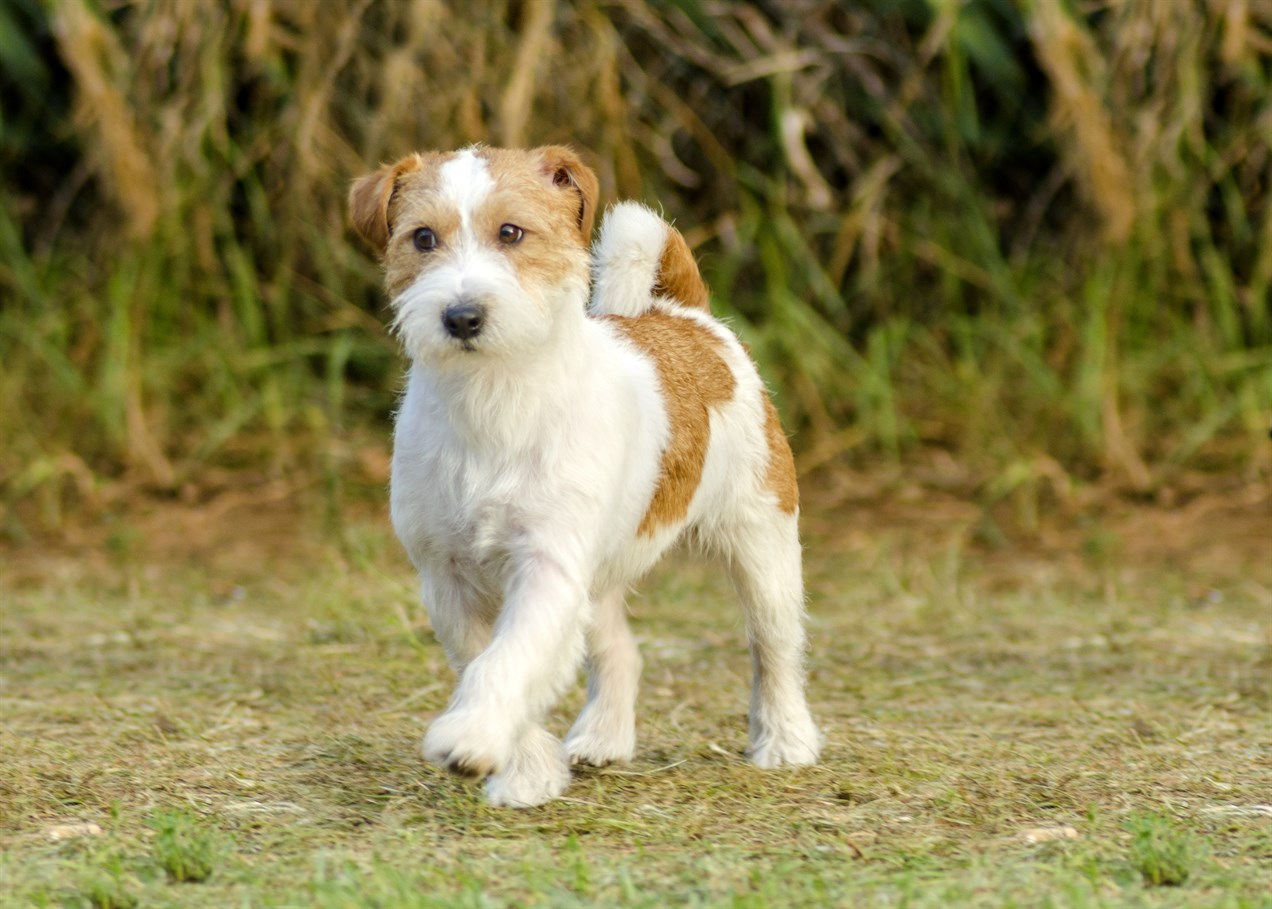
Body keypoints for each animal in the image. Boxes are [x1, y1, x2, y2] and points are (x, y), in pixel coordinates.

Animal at [353, 145, 819, 808]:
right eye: (422, 238)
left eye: (511, 232)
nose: (462, 316)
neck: (493, 401)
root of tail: (686, 316)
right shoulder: (448, 580)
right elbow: (484, 660)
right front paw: (526, 769)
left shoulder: (546, 567)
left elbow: (511, 658)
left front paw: (471, 736)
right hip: (598, 577)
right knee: (621, 651)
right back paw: (602, 736)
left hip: (761, 540)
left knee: (774, 646)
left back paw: (785, 741)